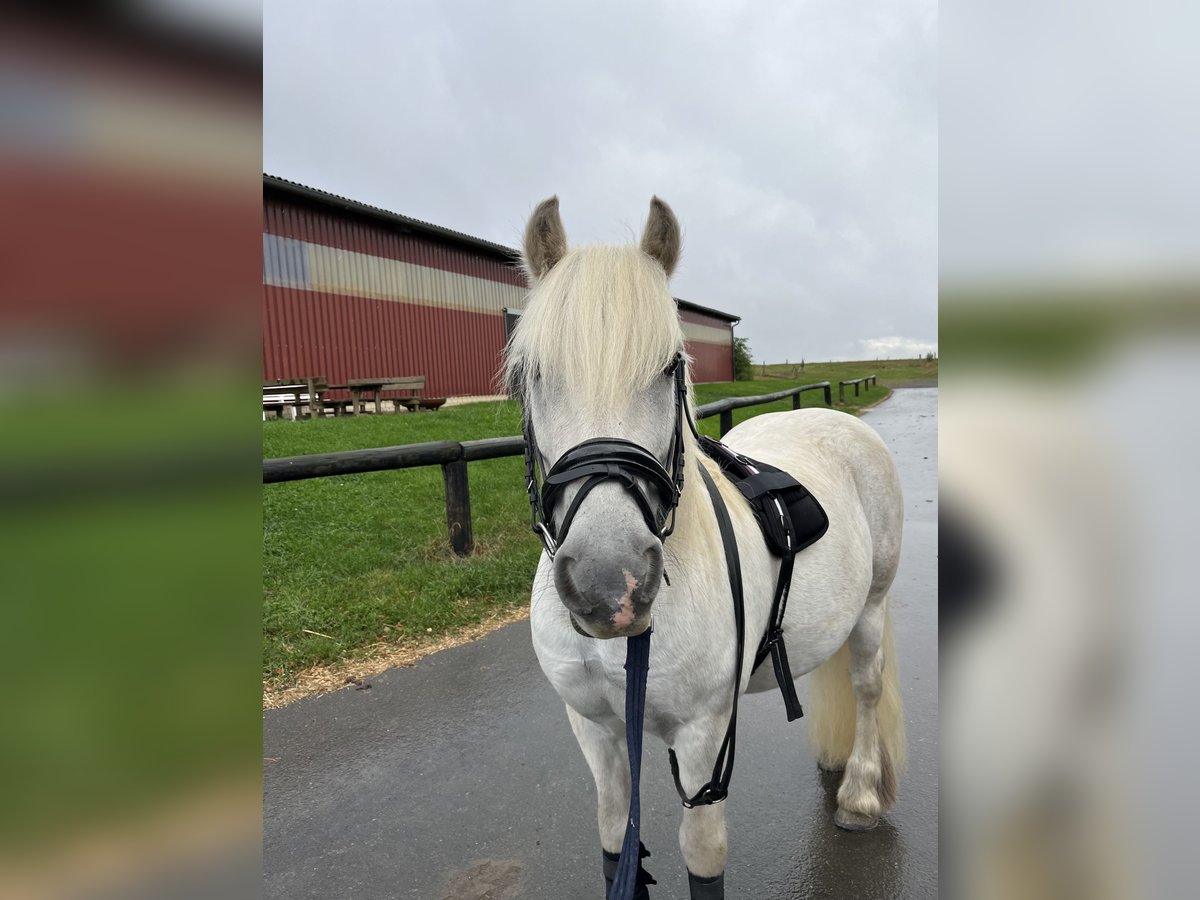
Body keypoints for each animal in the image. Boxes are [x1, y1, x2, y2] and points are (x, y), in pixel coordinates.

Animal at [506, 199, 907, 900]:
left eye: (670, 365)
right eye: (532, 372)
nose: (610, 584)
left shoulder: (704, 739)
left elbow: (703, 854)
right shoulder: (597, 730)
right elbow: (615, 840)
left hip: (870, 609)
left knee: (864, 687)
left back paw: (858, 792)